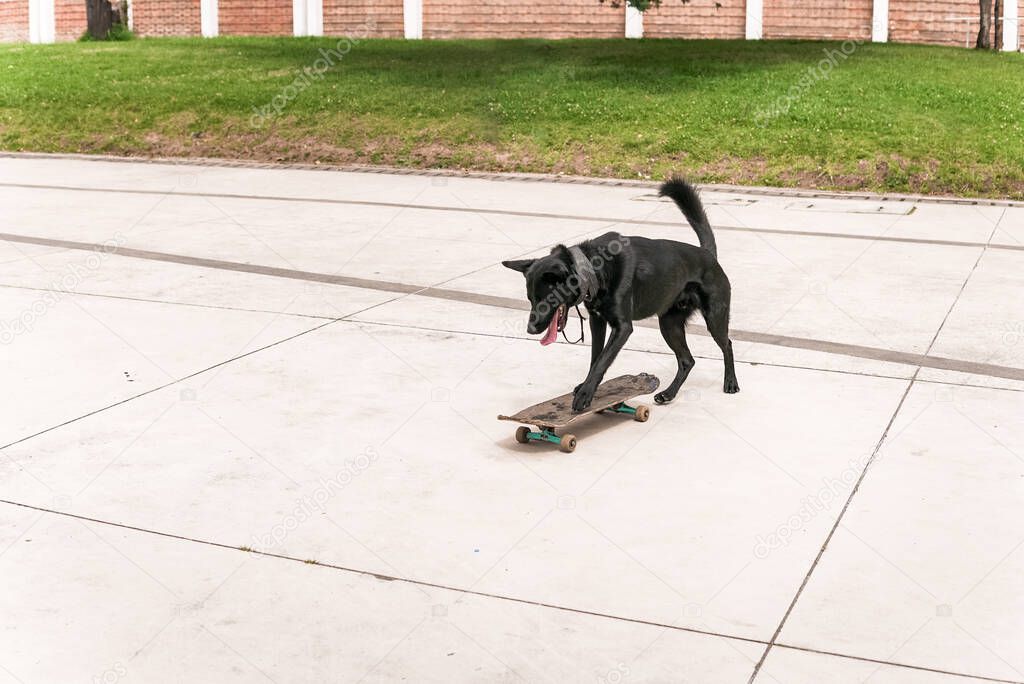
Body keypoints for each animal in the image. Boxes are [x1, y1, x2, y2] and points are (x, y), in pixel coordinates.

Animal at [501, 178, 737, 411]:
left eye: (547, 299)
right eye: (530, 299)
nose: (530, 330)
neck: (595, 268)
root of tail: (707, 254)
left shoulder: (622, 327)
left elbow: (603, 361)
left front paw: (585, 395)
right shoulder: (597, 321)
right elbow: (595, 357)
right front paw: (586, 387)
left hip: (714, 317)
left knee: (727, 344)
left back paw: (731, 383)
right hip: (669, 324)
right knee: (687, 360)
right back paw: (668, 394)